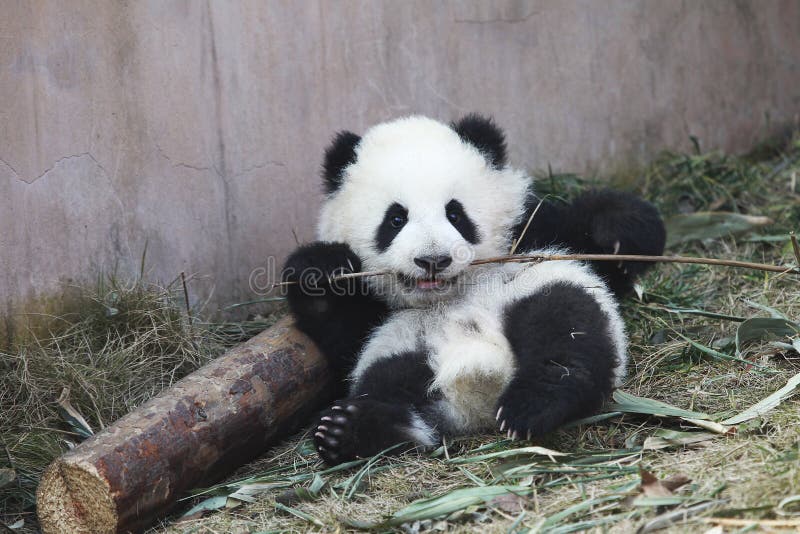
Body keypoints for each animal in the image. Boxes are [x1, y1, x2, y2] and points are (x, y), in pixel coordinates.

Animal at [283, 114, 666, 466]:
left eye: (455, 213)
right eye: (395, 219)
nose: (433, 259)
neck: (449, 294)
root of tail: (481, 388)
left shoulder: (530, 231)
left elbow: (592, 242)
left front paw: (616, 233)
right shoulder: (376, 314)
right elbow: (343, 337)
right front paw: (323, 268)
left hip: (539, 289)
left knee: (566, 329)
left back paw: (534, 404)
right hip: (401, 347)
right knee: (389, 385)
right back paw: (352, 429)